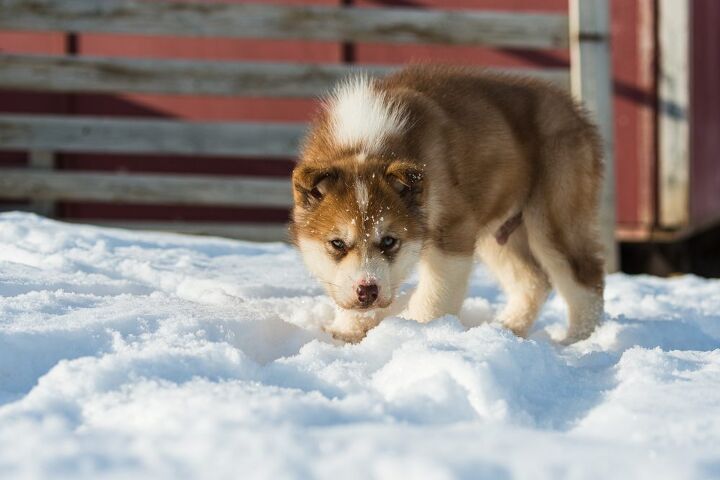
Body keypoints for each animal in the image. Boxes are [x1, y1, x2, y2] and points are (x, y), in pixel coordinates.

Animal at [290, 65, 604, 344]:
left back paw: (577, 341)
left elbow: (437, 292)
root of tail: (574, 109)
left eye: (389, 241)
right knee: (534, 280)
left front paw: (419, 329)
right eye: (337, 243)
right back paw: (508, 328)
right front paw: (348, 331)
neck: (364, 145)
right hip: (500, 233)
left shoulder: (454, 229)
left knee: (585, 279)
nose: (367, 291)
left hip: (552, 220)